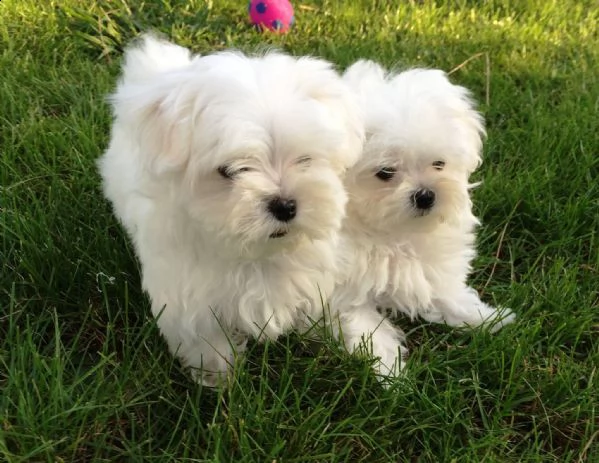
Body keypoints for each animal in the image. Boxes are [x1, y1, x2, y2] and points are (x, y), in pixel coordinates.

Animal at [99, 34, 364, 386]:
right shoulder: (192, 302)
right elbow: (207, 343)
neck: (258, 256)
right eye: (230, 170)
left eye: (305, 159)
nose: (285, 204)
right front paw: (220, 380)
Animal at [328, 60, 516, 380]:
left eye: (439, 164)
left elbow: (448, 295)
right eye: (386, 173)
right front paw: (391, 374)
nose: (426, 195)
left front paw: (487, 318)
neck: (395, 232)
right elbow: (368, 332)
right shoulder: (343, 294)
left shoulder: (431, 267)